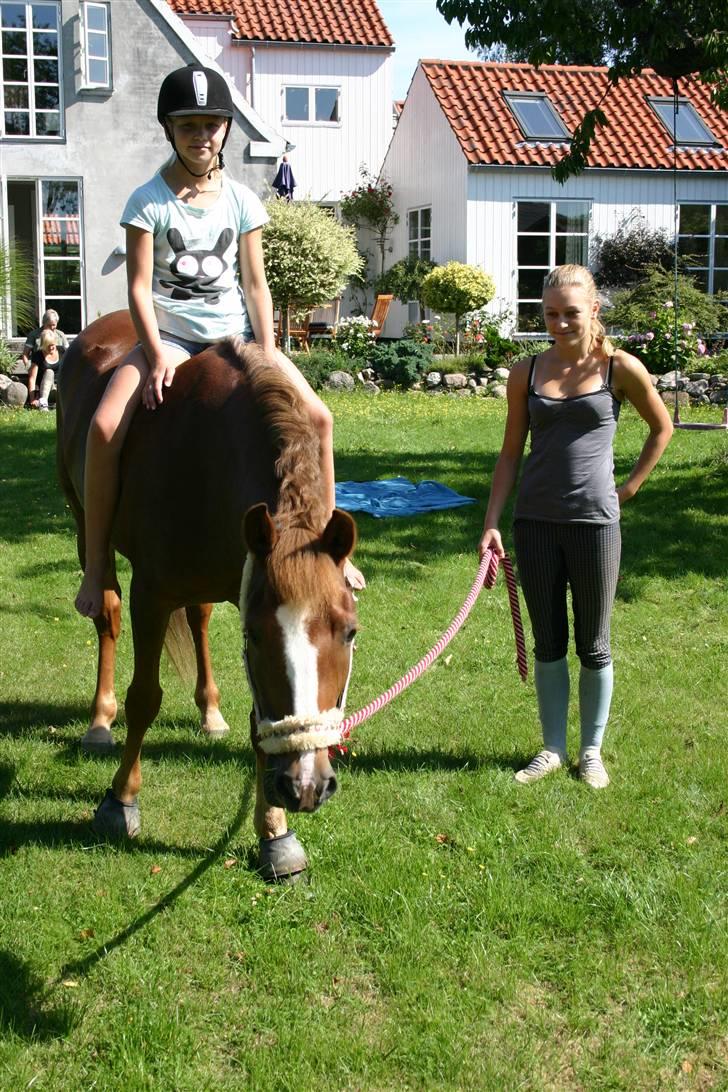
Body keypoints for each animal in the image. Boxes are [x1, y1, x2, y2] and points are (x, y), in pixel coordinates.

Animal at [56, 311, 359, 881]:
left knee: (196, 617)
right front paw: (119, 802)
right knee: (105, 612)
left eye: (349, 633)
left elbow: (260, 721)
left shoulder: (245, 574)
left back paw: (209, 712)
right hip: (86, 524)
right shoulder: (151, 593)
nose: (306, 785)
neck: (210, 454)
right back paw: (100, 720)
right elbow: (144, 698)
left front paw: (275, 833)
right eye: (256, 636)